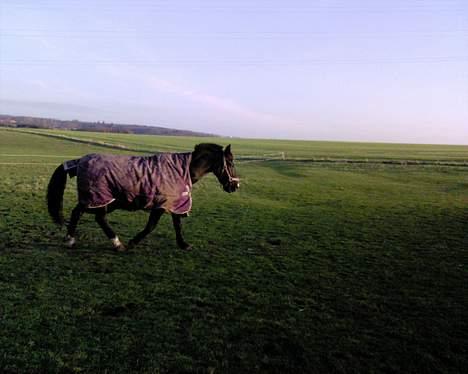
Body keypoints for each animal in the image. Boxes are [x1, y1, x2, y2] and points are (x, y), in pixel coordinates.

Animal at [46, 143, 239, 251]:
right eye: (230, 162)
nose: (235, 186)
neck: (182, 170)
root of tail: (80, 160)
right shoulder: (162, 205)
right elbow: (151, 226)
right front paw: (133, 242)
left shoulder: (174, 203)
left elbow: (177, 225)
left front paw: (183, 244)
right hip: (98, 198)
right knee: (83, 214)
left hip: (102, 200)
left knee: (91, 216)